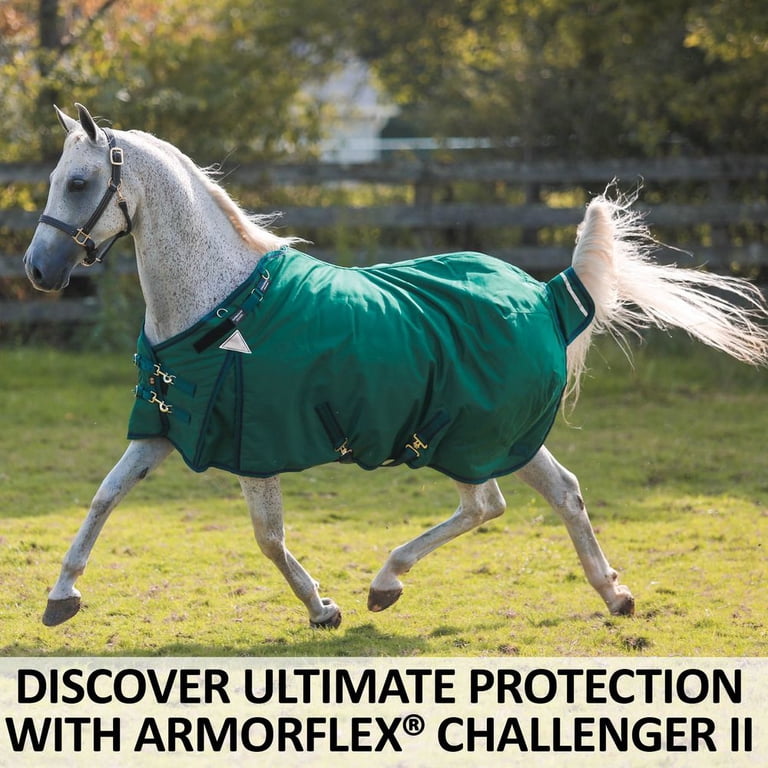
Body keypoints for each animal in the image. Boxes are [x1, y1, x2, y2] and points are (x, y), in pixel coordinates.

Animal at [24, 104, 768, 631]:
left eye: (81, 182)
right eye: (57, 180)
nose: (38, 270)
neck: (220, 305)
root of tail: (545, 295)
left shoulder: (251, 446)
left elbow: (267, 538)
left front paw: (324, 608)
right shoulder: (164, 427)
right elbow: (104, 497)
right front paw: (62, 596)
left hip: (468, 437)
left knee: (487, 503)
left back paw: (386, 583)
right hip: (507, 437)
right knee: (564, 493)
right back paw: (614, 595)